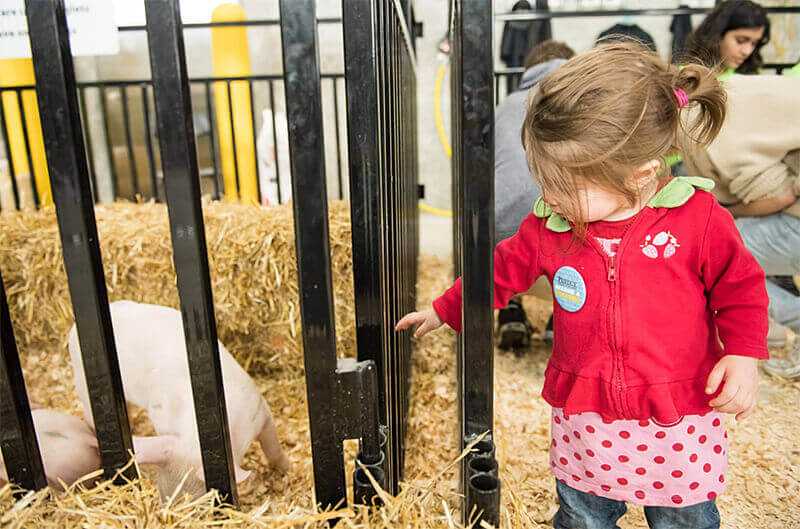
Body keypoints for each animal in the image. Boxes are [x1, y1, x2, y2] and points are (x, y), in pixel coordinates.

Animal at [67, 302, 290, 500]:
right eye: (160, 494)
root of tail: (73, 330)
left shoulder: (260, 410)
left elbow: (273, 447)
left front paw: (287, 469)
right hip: (82, 379)